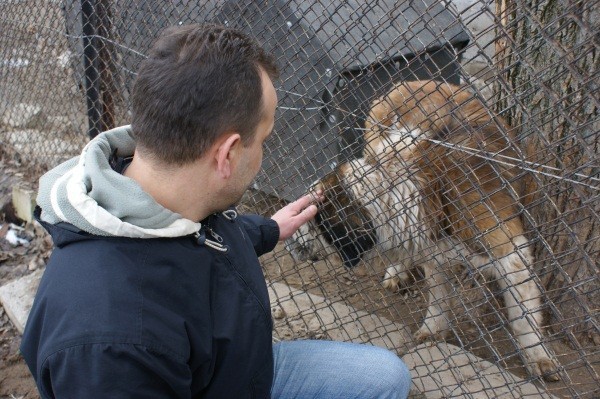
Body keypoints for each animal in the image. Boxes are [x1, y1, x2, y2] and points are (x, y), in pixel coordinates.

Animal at [284, 80, 556, 382]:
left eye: (308, 219)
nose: (288, 243)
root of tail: (409, 83)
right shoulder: (431, 246)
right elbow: (437, 295)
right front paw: (433, 328)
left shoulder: (509, 250)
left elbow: (523, 315)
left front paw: (537, 355)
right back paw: (396, 271)